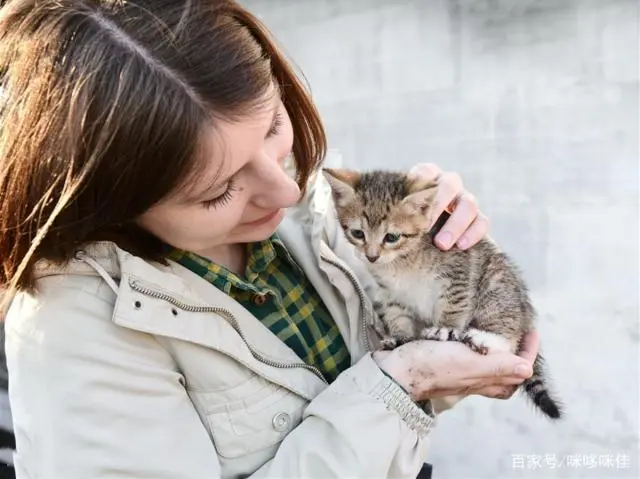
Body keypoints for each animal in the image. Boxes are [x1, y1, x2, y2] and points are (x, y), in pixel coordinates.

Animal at [322, 168, 564, 420]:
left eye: (391, 237)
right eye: (358, 233)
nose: (371, 256)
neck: (401, 261)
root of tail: (526, 315)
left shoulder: (458, 270)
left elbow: (454, 304)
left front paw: (445, 328)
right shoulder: (389, 292)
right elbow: (396, 314)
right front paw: (400, 337)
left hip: (496, 287)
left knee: (511, 338)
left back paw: (484, 338)